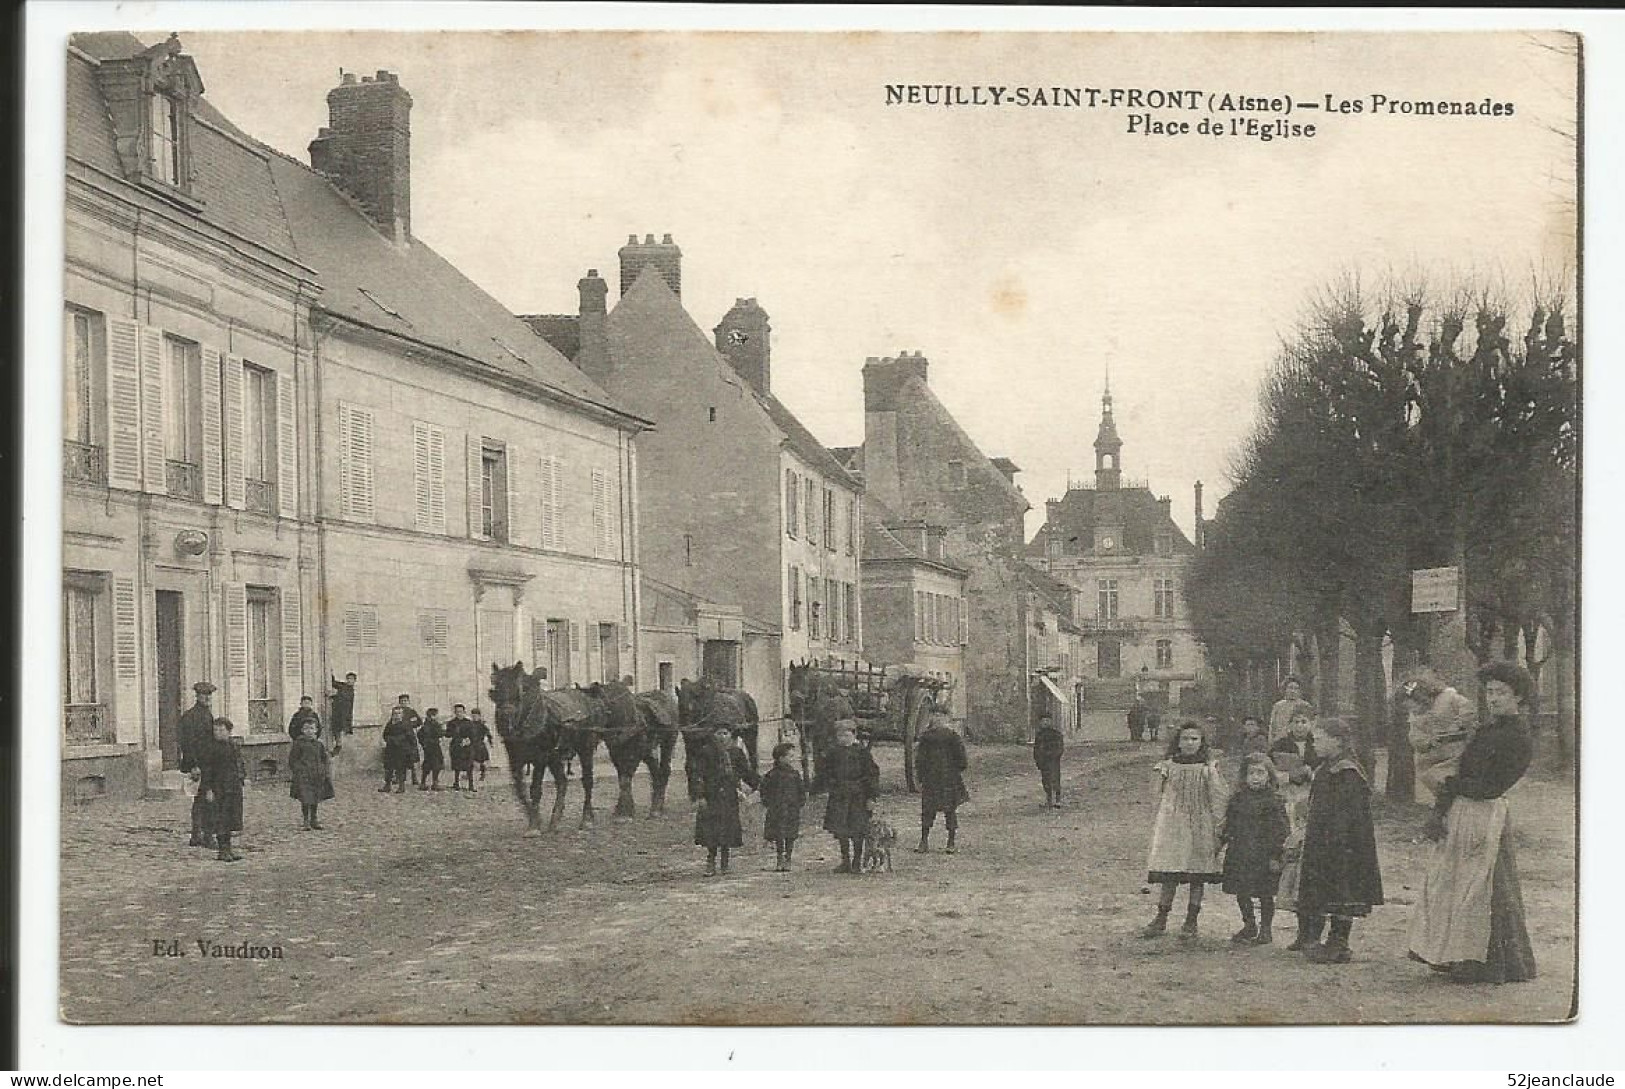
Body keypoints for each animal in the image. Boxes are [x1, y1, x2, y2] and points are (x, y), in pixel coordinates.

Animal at [679, 672, 767, 802]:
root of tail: (747, 696)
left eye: (695, 706)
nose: (687, 729)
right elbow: (691, 765)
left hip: (750, 733)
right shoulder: (691, 744)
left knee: (753, 755)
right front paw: (695, 794)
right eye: (680, 706)